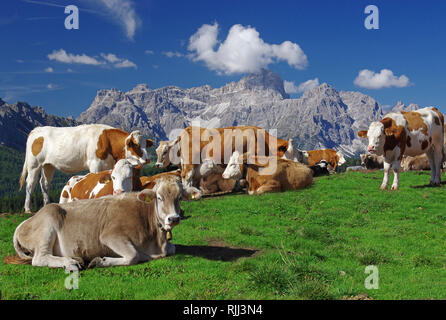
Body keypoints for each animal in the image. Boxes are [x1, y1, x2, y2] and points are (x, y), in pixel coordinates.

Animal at [4, 175, 200, 270]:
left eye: (179, 197)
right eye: (159, 197)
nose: (173, 218)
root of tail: (25, 221)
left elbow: (172, 249)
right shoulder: (110, 236)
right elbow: (133, 256)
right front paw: (100, 261)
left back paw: (75, 258)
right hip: (48, 222)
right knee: (39, 258)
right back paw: (70, 262)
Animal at [19, 124, 153, 212]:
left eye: (146, 144)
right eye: (136, 145)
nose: (147, 159)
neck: (106, 140)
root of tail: (36, 129)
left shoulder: (108, 164)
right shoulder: (95, 163)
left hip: (48, 165)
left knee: (45, 183)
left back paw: (47, 204)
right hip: (34, 164)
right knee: (30, 183)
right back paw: (28, 209)